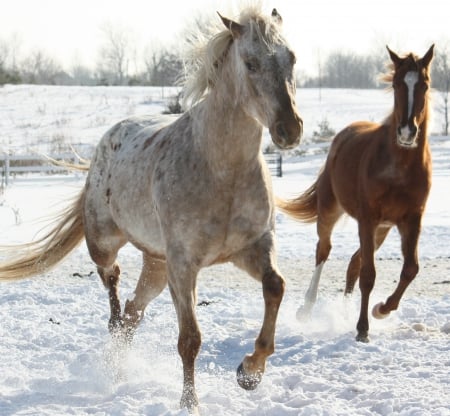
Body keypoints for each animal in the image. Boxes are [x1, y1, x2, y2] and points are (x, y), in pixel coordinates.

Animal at [0, 5, 302, 412]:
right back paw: (113, 351)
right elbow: (190, 339)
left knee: (132, 313)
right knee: (114, 294)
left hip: (157, 267)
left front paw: (249, 373)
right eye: (251, 63)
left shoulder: (252, 248)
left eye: (291, 58)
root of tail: (109, 138)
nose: (290, 129)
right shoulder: (184, 266)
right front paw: (189, 403)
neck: (222, 169)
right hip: (109, 246)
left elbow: (275, 287)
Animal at [276, 45, 434, 342]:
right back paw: (306, 309)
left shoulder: (411, 220)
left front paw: (381, 309)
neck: (399, 167)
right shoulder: (368, 218)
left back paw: (345, 310)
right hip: (332, 212)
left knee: (353, 262)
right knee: (324, 251)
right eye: (396, 84)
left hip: (381, 230)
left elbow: (410, 269)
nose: (407, 132)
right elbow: (369, 275)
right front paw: (362, 328)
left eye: (425, 84)